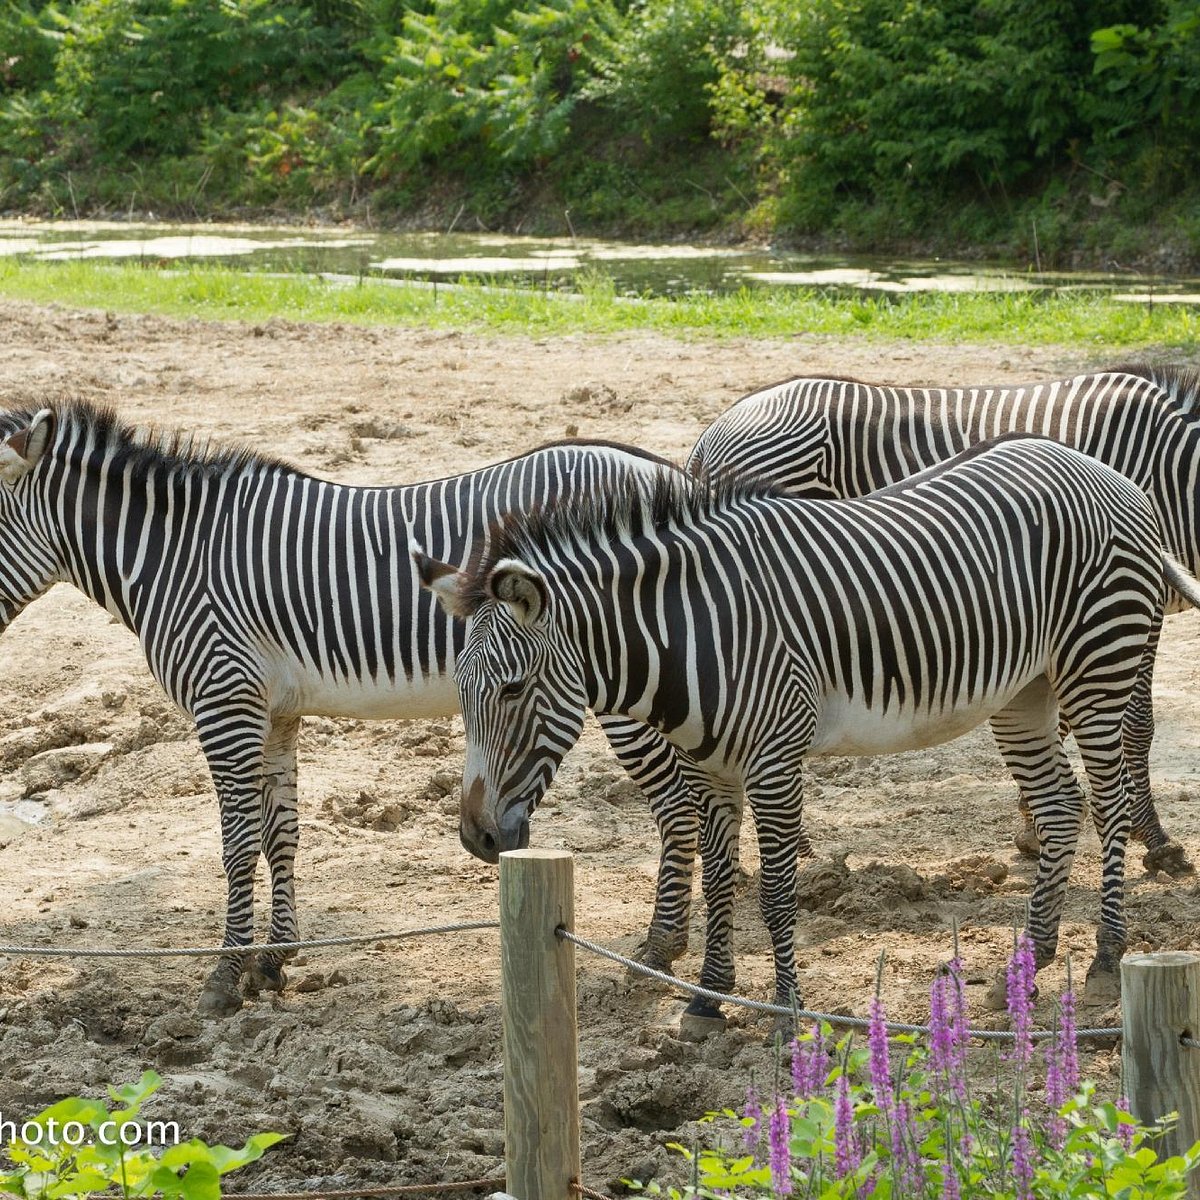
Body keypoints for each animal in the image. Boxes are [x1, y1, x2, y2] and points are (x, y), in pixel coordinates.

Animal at [0, 400, 686, 1012]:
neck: (170, 559)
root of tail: (665, 469)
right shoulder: (273, 711)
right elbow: (280, 833)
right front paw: (272, 960)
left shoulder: (225, 701)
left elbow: (236, 842)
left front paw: (225, 975)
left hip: (629, 688)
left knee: (680, 806)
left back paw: (660, 951)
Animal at [415, 436, 1200, 1017]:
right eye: (462, 694)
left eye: (514, 689)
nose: (476, 838)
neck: (693, 631)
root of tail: (1109, 474)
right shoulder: (710, 766)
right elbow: (719, 875)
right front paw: (709, 997)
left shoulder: (774, 758)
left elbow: (774, 889)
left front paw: (787, 1013)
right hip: (1024, 692)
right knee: (1063, 808)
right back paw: (1028, 963)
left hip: (1098, 665)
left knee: (1110, 804)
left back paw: (1106, 955)